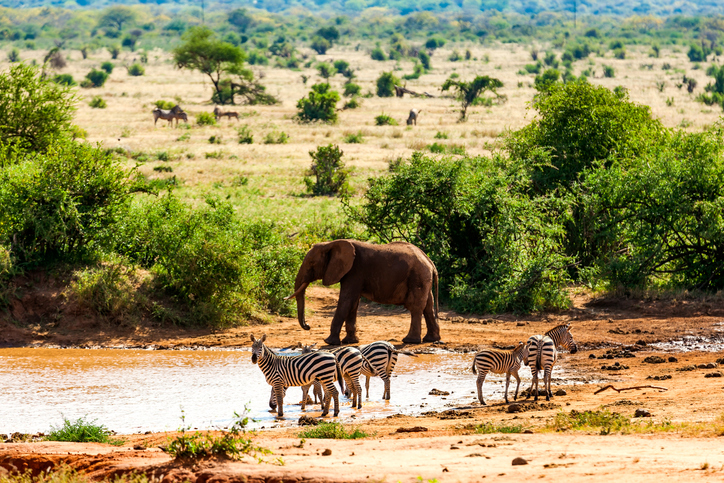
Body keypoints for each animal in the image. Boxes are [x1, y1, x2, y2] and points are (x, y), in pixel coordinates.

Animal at [286, 240, 438, 346]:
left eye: (311, 263)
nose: (308, 326)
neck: (330, 244)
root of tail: (430, 262)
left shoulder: (355, 271)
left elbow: (346, 301)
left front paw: (329, 342)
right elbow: (353, 303)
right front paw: (350, 342)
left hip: (417, 276)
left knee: (416, 307)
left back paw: (410, 341)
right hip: (423, 278)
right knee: (428, 307)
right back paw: (431, 339)